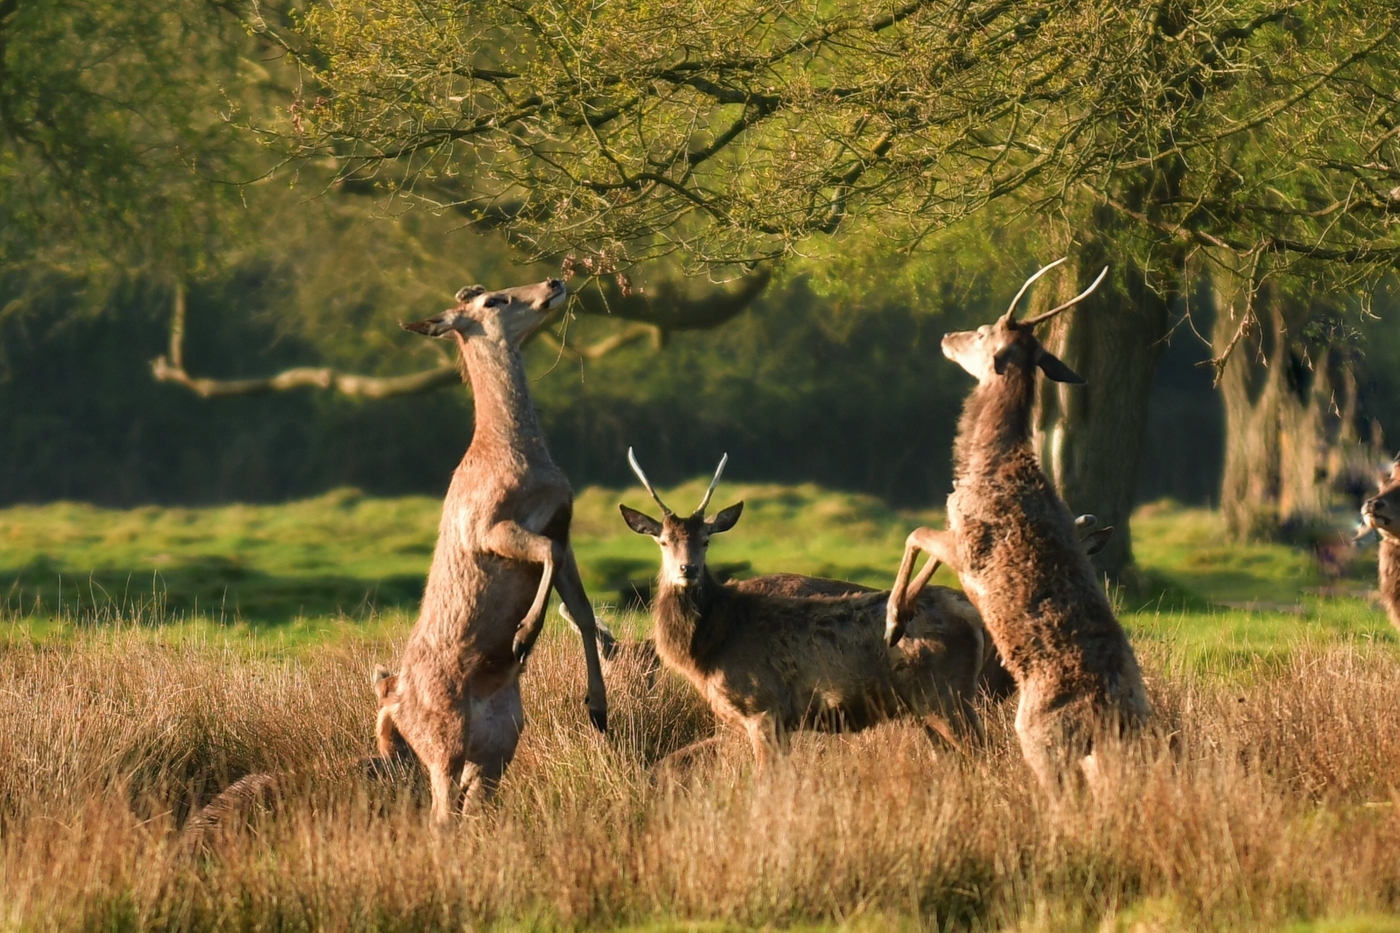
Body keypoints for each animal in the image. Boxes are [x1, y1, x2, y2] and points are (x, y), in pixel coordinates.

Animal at [378, 277, 607, 823]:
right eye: (493, 300)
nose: (554, 282)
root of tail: (392, 704)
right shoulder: (488, 527)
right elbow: (543, 554)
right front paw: (523, 636)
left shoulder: (565, 528)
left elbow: (583, 610)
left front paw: (598, 707)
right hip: (441, 739)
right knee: (440, 814)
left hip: (498, 749)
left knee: (468, 804)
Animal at [618, 448, 991, 767]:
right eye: (663, 541)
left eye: (706, 540)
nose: (688, 569)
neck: (709, 649)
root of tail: (971, 614)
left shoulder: (763, 708)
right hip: (928, 706)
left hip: (947, 695)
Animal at [884, 257, 1148, 795]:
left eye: (985, 332)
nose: (949, 335)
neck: (984, 465)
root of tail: (1108, 717)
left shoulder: (967, 542)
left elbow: (914, 535)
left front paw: (895, 621)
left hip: (1041, 738)